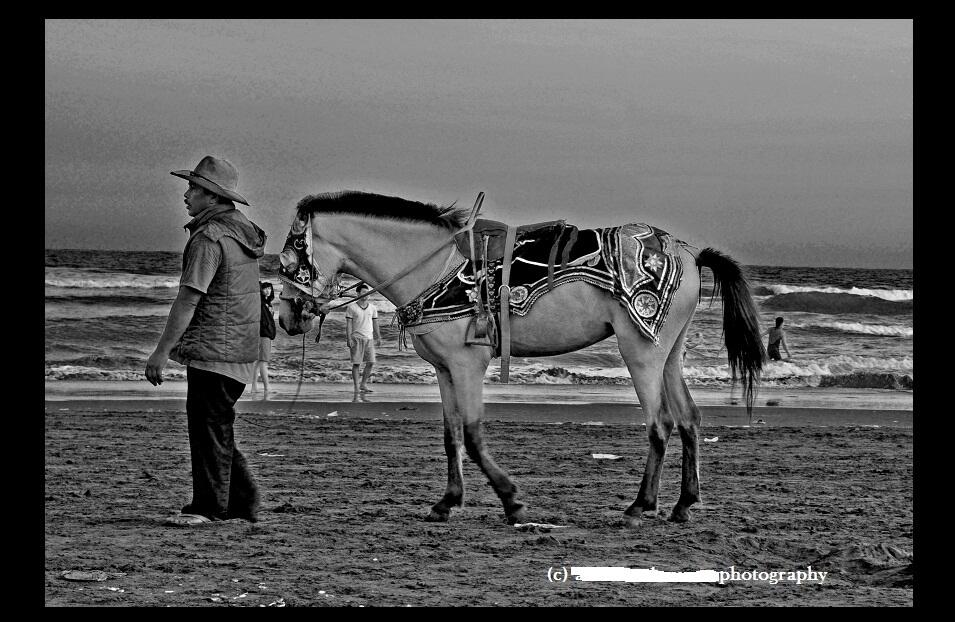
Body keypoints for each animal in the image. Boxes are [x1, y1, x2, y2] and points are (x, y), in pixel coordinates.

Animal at [274, 190, 760, 528]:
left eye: (293, 253)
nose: (285, 314)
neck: (431, 266)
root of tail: (687, 254)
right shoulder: (444, 369)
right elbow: (451, 436)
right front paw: (448, 502)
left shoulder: (468, 365)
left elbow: (472, 436)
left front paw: (511, 501)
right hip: (669, 352)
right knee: (690, 419)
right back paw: (683, 504)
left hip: (641, 353)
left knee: (660, 425)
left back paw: (641, 506)